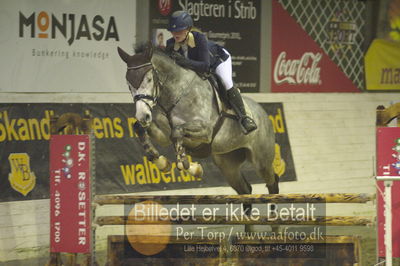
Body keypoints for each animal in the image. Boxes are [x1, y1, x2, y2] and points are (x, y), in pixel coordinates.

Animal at [118, 43, 278, 196]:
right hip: (227, 162)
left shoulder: (206, 131)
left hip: (261, 161)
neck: (176, 94)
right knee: (245, 189)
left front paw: (191, 168)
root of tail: (263, 113)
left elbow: (177, 132)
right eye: (128, 83)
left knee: (272, 181)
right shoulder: (163, 136)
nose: (143, 116)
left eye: (149, 79)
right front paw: (161, 162)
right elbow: (141, 129)